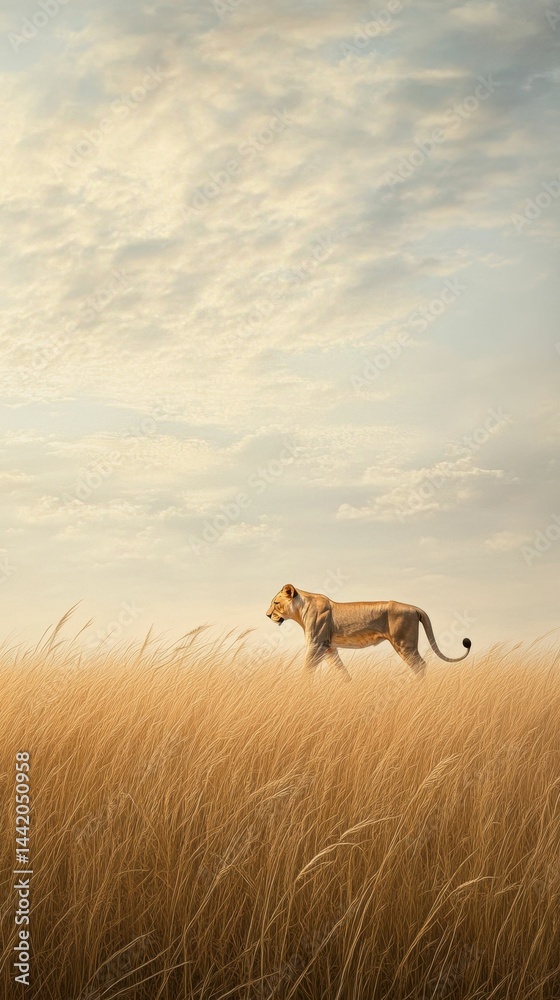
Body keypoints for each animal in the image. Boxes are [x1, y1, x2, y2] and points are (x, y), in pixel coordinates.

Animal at [266, 584, 471, 680]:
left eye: (276, 603)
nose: (267, 615)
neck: (300, 610)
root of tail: (414, 607)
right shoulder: (329, 647)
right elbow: (341, 671)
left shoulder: (316, 644)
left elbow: (307, 669)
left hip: (404, 643)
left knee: (421, 665)